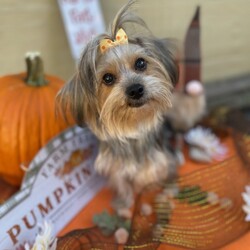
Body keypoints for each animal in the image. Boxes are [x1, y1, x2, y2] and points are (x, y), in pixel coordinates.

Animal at [57, 0, 181, 213]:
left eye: (140, 63)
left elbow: (163, 176)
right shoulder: (116, 168)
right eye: (107, 78)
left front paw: (166, 194)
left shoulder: (162, 160)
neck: (134, 129)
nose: (135, 89)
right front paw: (124, 206)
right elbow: (122, 185)